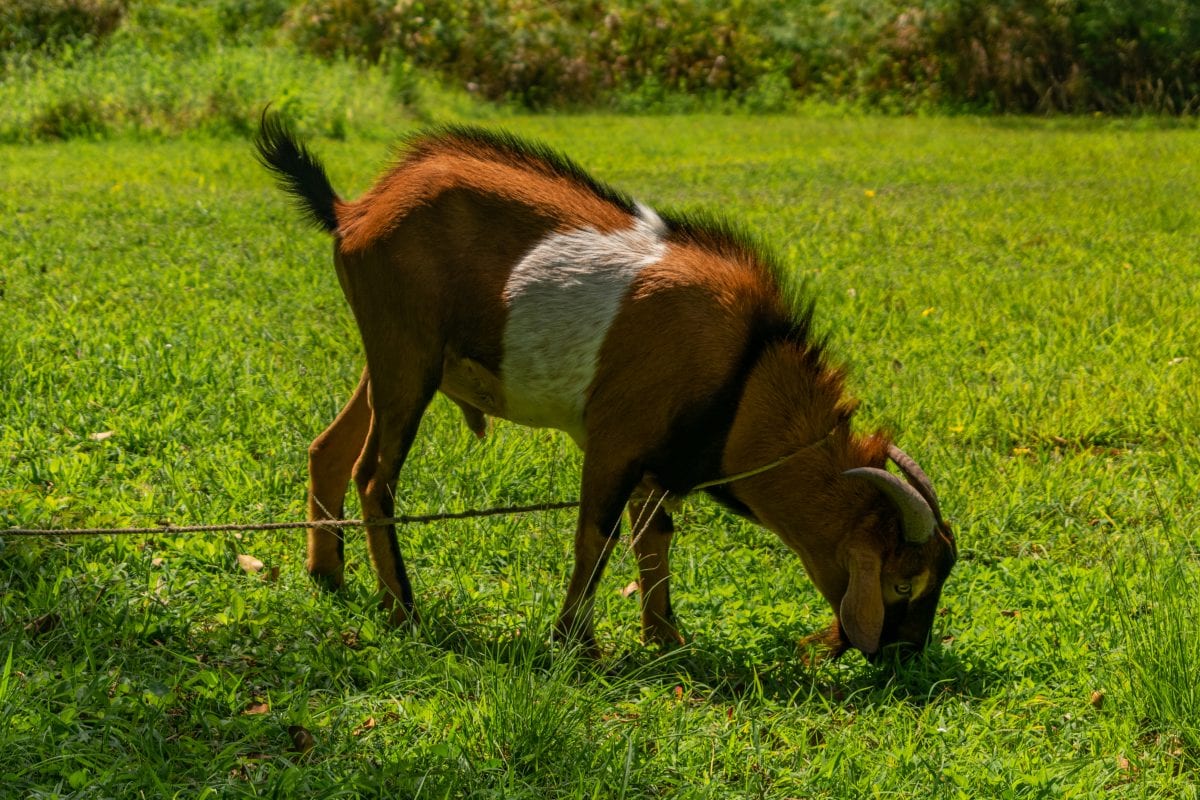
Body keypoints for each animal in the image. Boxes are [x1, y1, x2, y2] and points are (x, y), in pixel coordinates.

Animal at [253, 113, 955, 662]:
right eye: (902, 583)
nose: (904, 654)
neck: (744, 373)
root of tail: (356, 211)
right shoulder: (616, 439)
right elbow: (597, 534)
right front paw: (575, 644)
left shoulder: (658, 459)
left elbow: (654, 537)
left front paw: (665, 638)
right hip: (408, 357)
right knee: (375, 476)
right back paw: (403, 610)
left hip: (394, 356)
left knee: (328, 448)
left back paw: (327, 573)